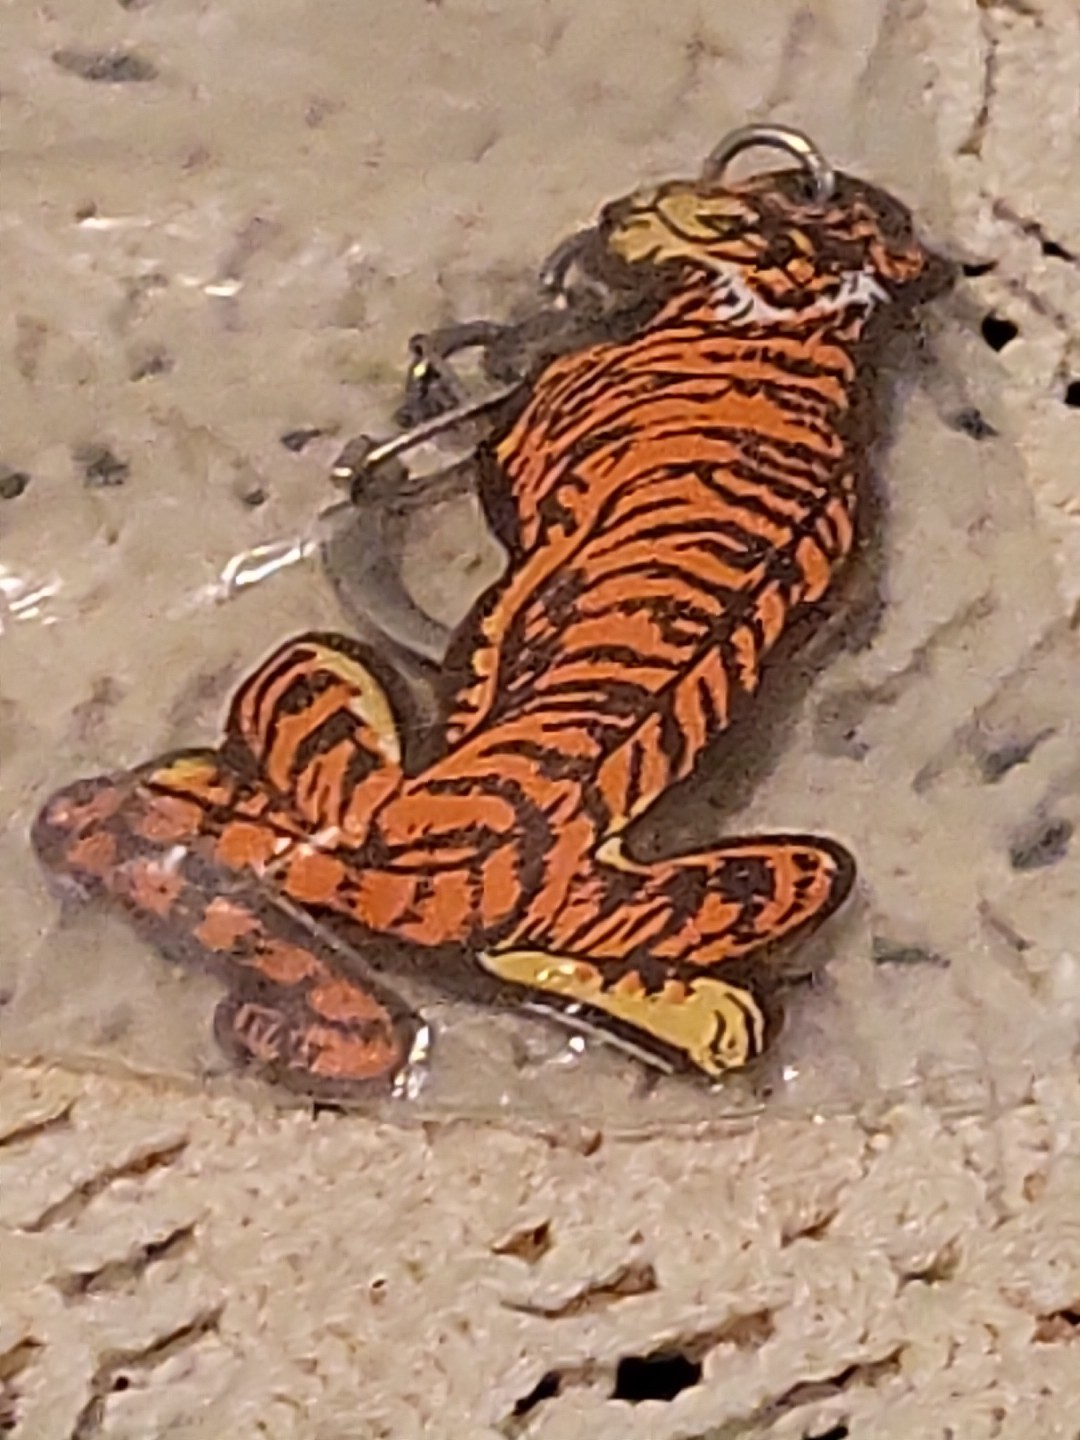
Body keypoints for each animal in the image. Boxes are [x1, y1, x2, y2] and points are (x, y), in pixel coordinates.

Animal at [31, 154, 954, 1098]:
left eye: (762, 202)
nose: (632, 206)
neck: (797, 325)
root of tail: (448, 892)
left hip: (307, 681)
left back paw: (202, 784)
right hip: (771, 875)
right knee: (527, 955)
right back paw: (700, 1013)